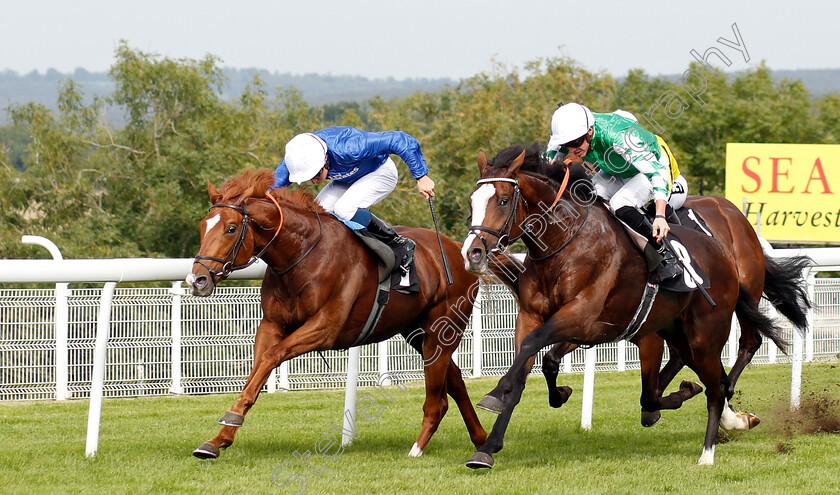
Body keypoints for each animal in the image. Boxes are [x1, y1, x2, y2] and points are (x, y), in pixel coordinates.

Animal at [184, 169, 486, 460]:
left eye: (231, 228)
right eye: (202, 226)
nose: (197, 280)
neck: (302, 255)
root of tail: (458, 251)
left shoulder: (324, 328)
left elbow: (271, 357)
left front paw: (231, 417)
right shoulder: (271, 324)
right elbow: (258, 368)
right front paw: (218, 439)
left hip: (442, 329)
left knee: (438, 399)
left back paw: (418, 448)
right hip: (416, 331)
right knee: (455, 380)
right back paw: (481, 438)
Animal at [460, 144, 780, 468]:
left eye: (503, 200)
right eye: (472, 201)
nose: (472, 253)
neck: (563, 242)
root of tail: (722, 250)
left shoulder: (580, 316)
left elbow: (533, 350)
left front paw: (498, 391)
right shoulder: (537, 318)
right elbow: (531, 366)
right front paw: (489, 445)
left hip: (708, 332)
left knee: (730, 367)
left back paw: (708, 452)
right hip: (677, 331)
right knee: (700, 373)